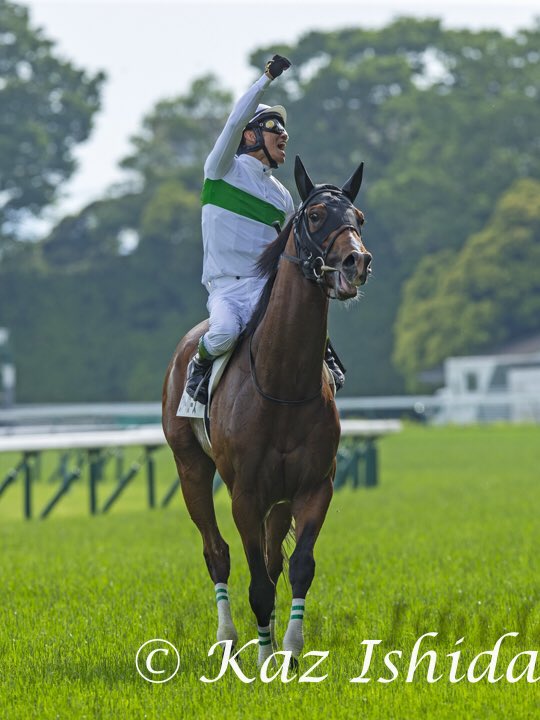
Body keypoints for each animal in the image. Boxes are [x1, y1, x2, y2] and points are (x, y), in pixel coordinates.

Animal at [161, 155, 372, 668]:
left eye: (358, 218)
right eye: (315, 215)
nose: (356, 262)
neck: (284, 383)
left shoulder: (314, 486)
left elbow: (297, 567)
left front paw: (289, 651)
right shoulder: (246, 492)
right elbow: (255, 580)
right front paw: (261, 660)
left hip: (280, 497)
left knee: (274, 559)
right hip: (191, 467)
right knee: (216, 551)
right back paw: (228, 640)